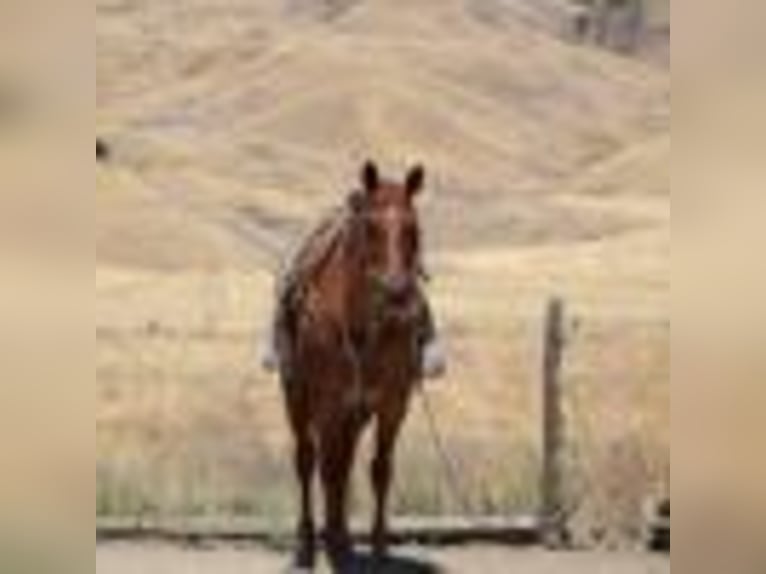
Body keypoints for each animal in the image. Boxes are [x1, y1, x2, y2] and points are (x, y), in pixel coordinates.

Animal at [278, 161, 430, 572]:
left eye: (413, 228)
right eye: (370, 227)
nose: (397, 293)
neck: (359, 322)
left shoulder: (392, 403)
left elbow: (379, 469)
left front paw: (377, 549)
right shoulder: (328, 403)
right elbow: (326, 469)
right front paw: (330, 545)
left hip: (355, 414)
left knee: (342, 465)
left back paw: (339, 537)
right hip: (298, 398)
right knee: (307, 460)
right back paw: (308, 544)